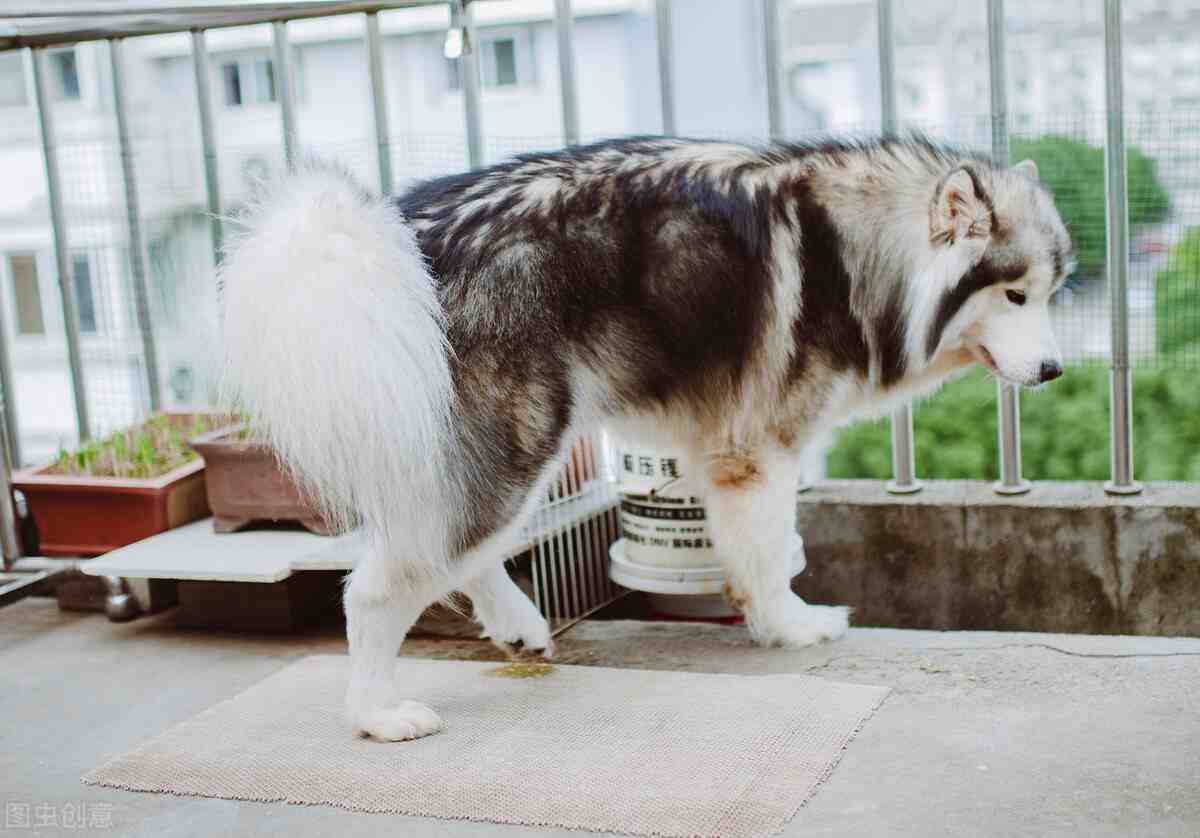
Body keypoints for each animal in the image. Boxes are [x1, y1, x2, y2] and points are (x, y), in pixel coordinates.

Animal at [220, 132, 1075, 739]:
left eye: (1051, 294)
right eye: (1016, 294)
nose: (1055, 370)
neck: (856, 249)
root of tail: (401, 237)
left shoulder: (717, 448)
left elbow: (750, 554)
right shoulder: (757, 450)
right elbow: (769, 557)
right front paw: (790, 627)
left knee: (454, 548)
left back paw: (516, 625)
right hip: (521, 439)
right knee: (378, 587)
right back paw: (376, 714)